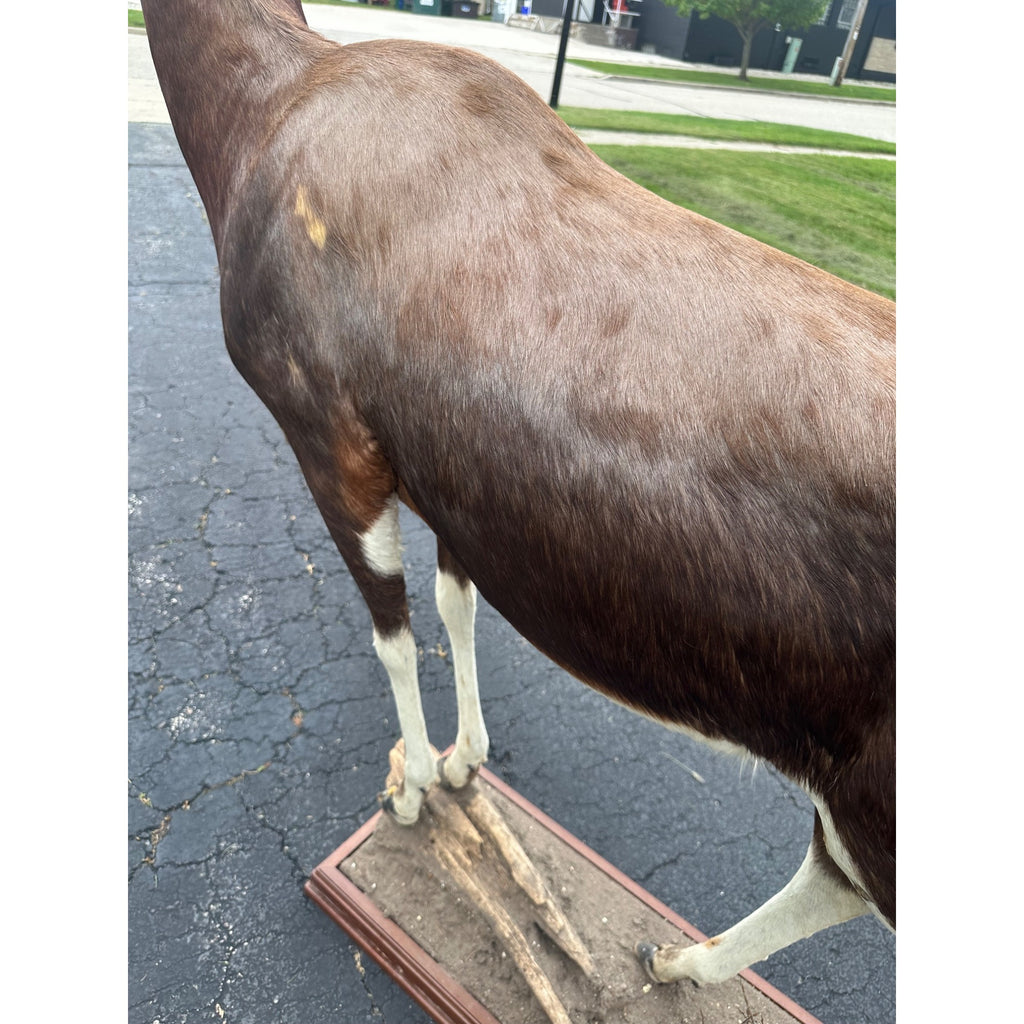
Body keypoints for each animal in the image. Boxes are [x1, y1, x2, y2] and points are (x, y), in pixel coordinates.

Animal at [140, 0, 895, 989]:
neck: (272, 103)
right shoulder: (449, 483)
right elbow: (456, 604)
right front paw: (466, 762)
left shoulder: (330, 441)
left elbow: (391, 631)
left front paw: (415, 789)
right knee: (832, 875)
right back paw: (677, 963)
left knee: (837, 872)